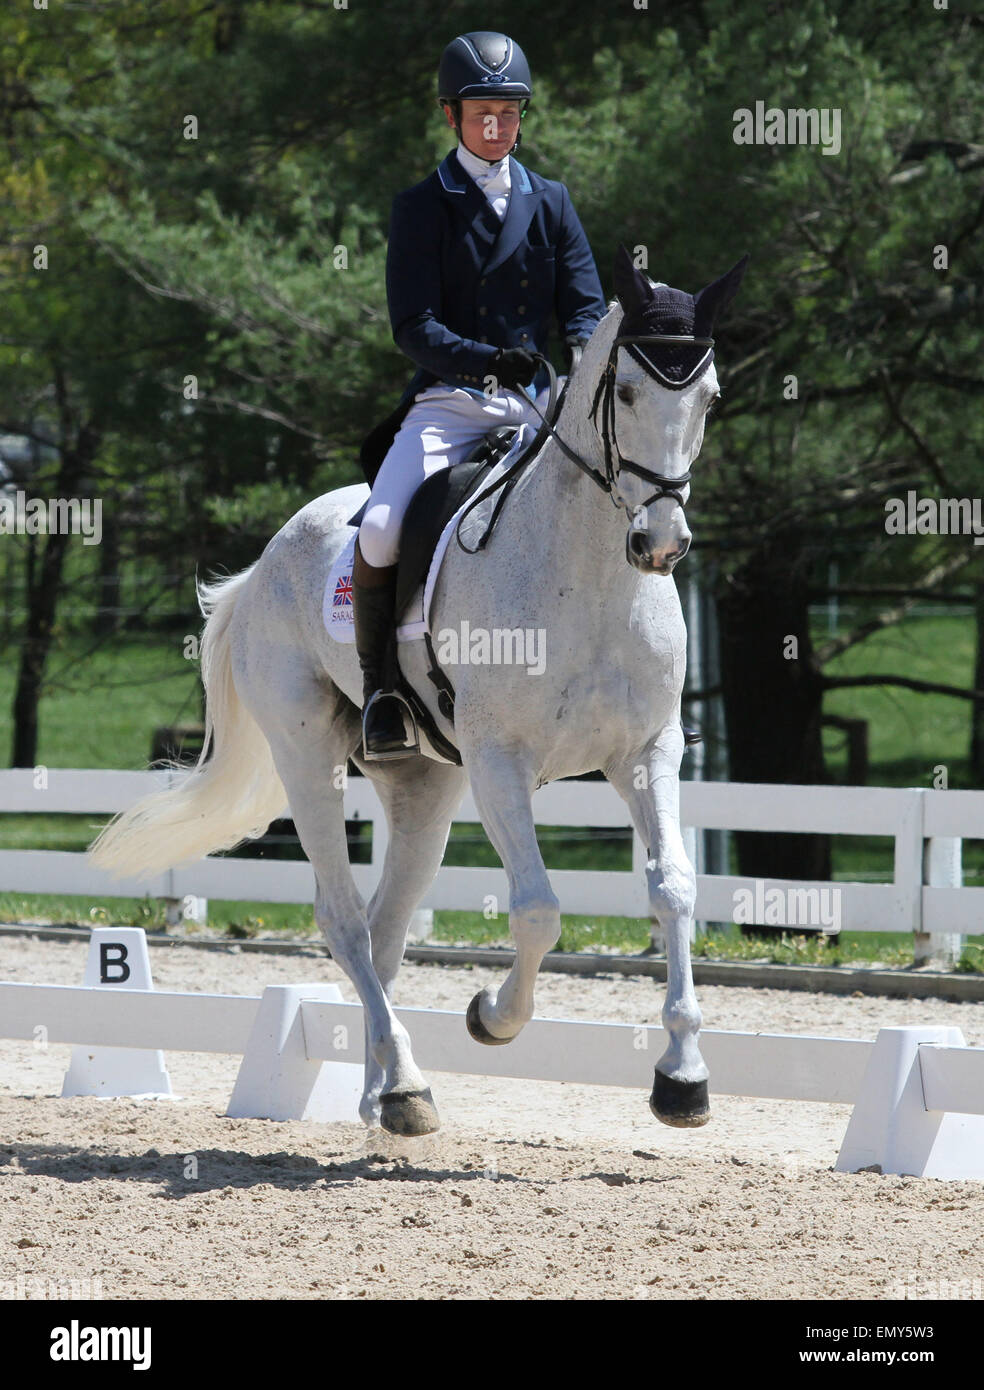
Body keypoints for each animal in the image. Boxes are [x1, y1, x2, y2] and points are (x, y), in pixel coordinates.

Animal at [92, 244, 750, 1134]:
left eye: (709, 398)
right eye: (625, 393)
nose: (661, 543)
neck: (589, 578)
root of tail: (263, 564)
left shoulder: (648, 752)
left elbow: (674, 889)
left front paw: (682, 1078)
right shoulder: (501, 759)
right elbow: (538, 908)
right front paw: (492, 1017)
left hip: (424, 783)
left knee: (384, 929)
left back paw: (383, 1093)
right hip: (309, 756)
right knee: (342, 919)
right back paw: (404, 1087)